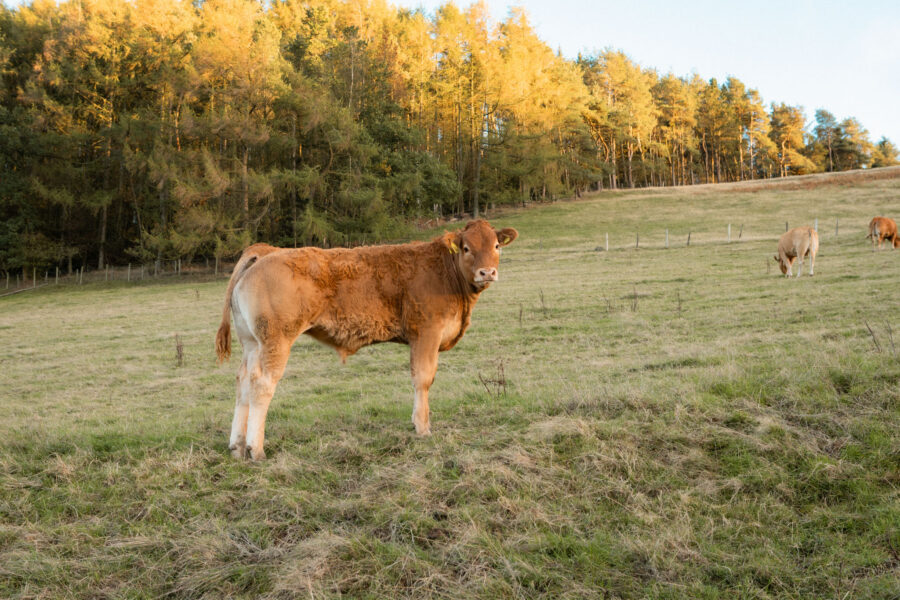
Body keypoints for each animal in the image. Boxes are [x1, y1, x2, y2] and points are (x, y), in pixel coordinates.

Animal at [214, 220, 519, 460]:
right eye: (466, 248)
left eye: (496, 246)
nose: (487, 272)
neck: (446, 273)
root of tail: (267, 251)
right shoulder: (426, 332)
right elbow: (423, 379)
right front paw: (422, 428)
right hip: (276, 340)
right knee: (262, 385)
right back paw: (256, 449)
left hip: (252, 343)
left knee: (244, 382)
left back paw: (237, 447)